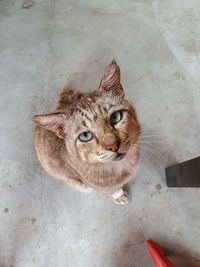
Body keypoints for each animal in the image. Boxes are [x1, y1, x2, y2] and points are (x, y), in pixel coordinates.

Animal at [32, 60, 141, 205]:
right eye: (85, 136)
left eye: (115, 117)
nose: (113, 146)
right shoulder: (100, 186)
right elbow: (112, 190)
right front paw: (119, 195)